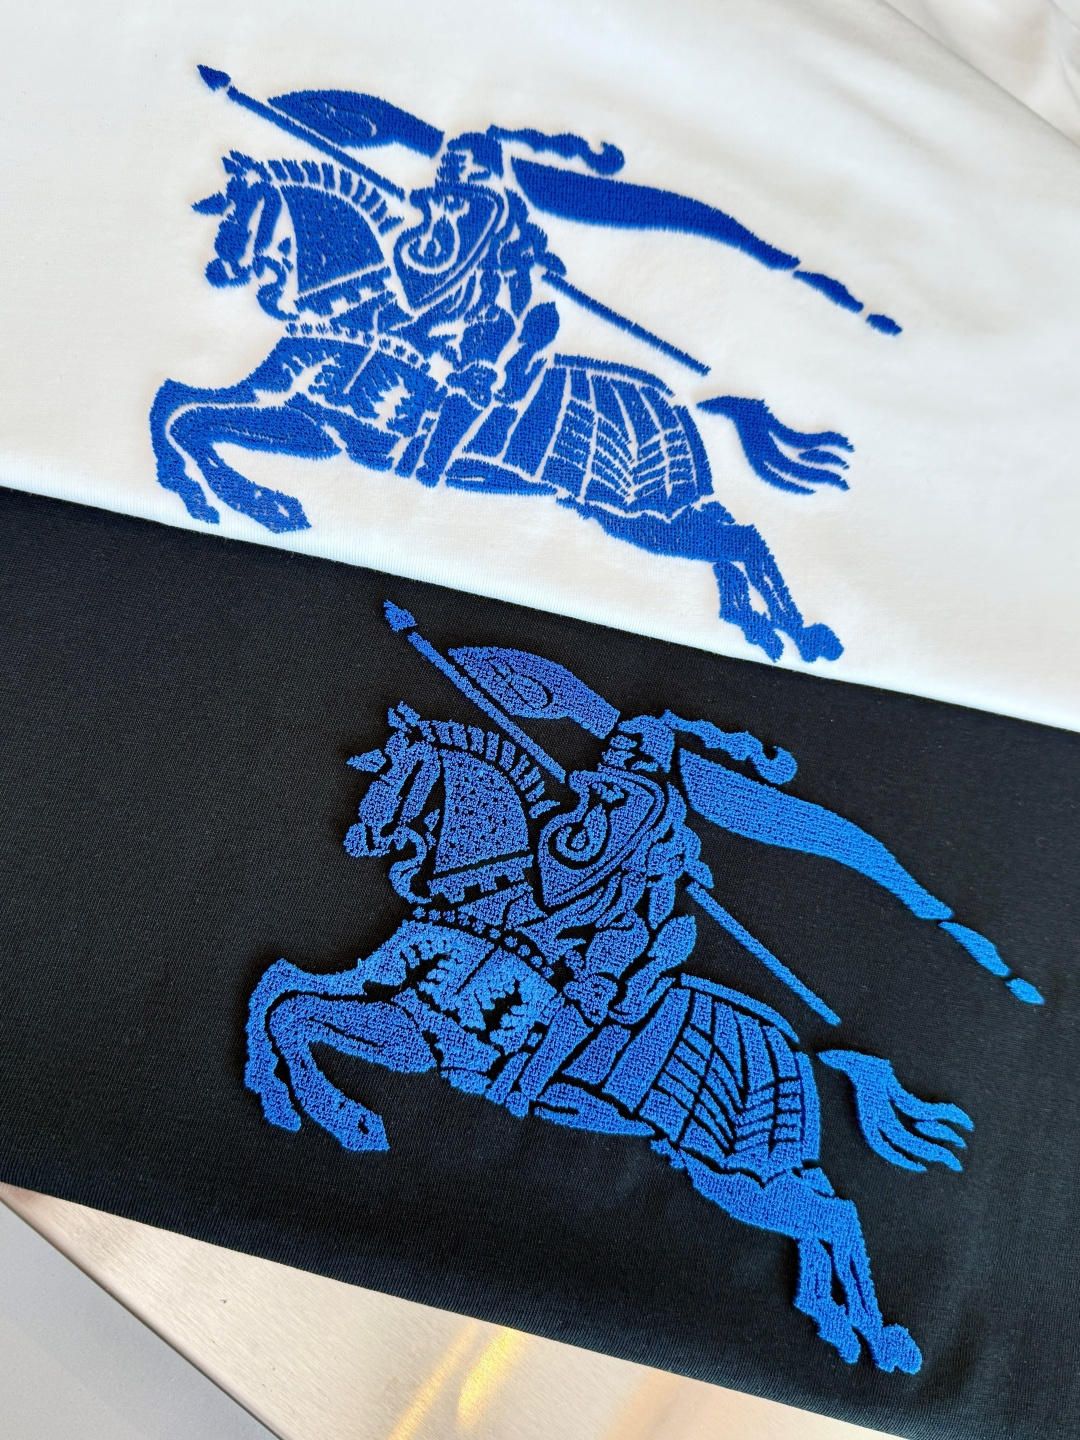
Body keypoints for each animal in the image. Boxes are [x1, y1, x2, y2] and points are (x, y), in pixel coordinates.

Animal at [152, 71, 874, 664]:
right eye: (221, 209)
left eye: (248, 216)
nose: (217, 270)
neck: (354, 314)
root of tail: (689, 402)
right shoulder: (269, 395)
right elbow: (175, 404)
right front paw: (203, 492)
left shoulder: (326, 431)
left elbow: (197, 422)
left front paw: (261, 503)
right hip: (658, 512)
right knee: (733, 539)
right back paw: (758, 626)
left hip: (642, 516)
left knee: (742, 541)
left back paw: (800, 634)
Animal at [244, 616, 1041, 1370]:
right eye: (374, 765)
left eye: (394, 774)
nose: (359, 837)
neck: (492, 901)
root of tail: (803, 1049)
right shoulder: (371, 981)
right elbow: (277, 989)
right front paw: (277, 1094)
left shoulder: (430, 1041)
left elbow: (298, 1013)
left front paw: (347, 1119)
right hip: (751, 1169)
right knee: (828, 1218)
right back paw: (840, 1324)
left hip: (737, 1173)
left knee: (836, 1220)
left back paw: (874, 1337)